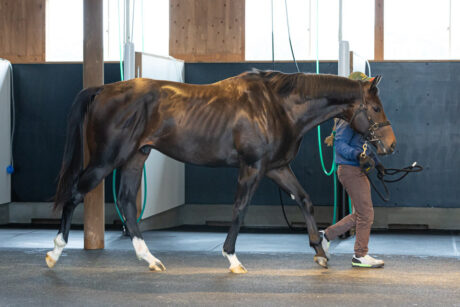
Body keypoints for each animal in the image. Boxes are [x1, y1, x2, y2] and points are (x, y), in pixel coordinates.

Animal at [45, 70, 396, 274]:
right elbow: (239, 208)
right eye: (376, 108)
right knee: (75, 193)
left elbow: (305, 200)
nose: (390, 145)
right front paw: (232, 258)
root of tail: (102, 90)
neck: (277, 106)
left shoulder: (276, 167)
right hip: (106, 159)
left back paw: (151, 259)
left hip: (134, 158)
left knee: (128, 203)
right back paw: (55, 252)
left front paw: (320, 252)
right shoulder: (252, 167)